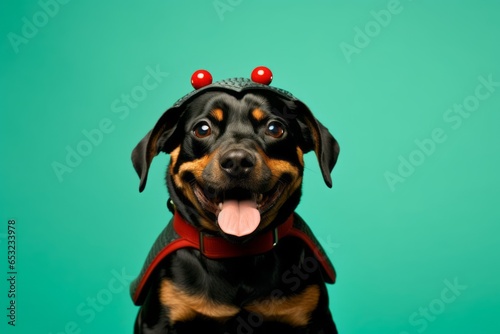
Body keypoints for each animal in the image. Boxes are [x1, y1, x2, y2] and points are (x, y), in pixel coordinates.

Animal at [129, 69, 340, 332]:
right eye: (202, 129)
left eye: (274, 128)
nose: (237, 161)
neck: (235, 256)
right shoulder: (157, 320)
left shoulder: (316, 319)